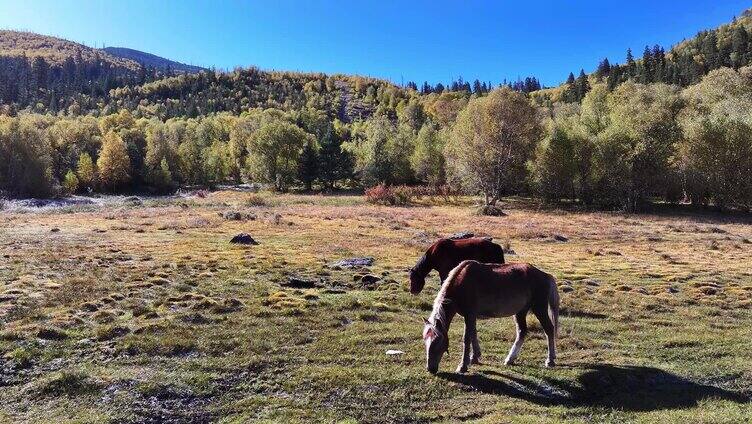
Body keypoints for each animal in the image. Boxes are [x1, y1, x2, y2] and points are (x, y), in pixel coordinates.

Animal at [424, 260, 560, 372]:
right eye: (425, 341)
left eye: (437, 342)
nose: (430, 369)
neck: (461, 283)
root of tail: (545, 275)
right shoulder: (471, 317)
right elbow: (473, 334)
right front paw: (474, 357)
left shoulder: (469, 315)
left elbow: (466, 338)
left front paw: (462, 366)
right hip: (521, 312)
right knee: (522, 332)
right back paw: (510, 359)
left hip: (539, 309)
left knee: (549, 329)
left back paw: (550, 360)